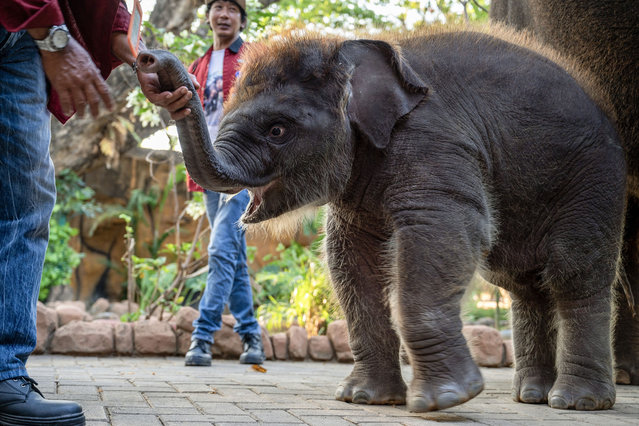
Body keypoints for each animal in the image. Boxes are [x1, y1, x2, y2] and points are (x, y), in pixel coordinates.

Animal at [158, 25, 628, 410]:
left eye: (278, 130)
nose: (157, 63)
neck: (350, 51)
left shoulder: (433, 141)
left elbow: (440, 230)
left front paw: (446, 399)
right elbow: (349, 258)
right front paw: (364, 398)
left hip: (593, 179)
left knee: (573, 273)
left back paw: (576, 402)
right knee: (522, 283)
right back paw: (531, 396)